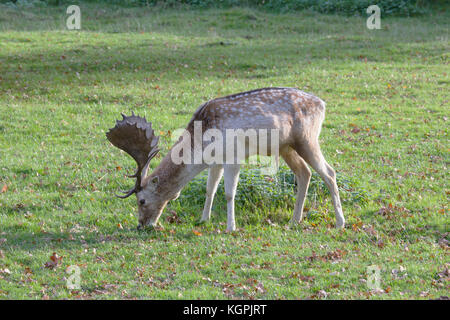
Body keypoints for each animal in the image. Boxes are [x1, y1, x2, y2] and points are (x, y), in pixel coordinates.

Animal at [107, 87, 346, 231]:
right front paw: (204, 219)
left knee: (329, 172)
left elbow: (229, 193)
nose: (141, 225)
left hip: (307, 139)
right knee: (305, 173)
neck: (201, 143)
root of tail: (322, 104)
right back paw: (294, 220)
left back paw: (340, 222)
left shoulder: (234, 155)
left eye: (141, 200)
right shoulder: (216, 161)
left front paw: (231, 227)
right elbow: (210, 189)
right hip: (286, 147)